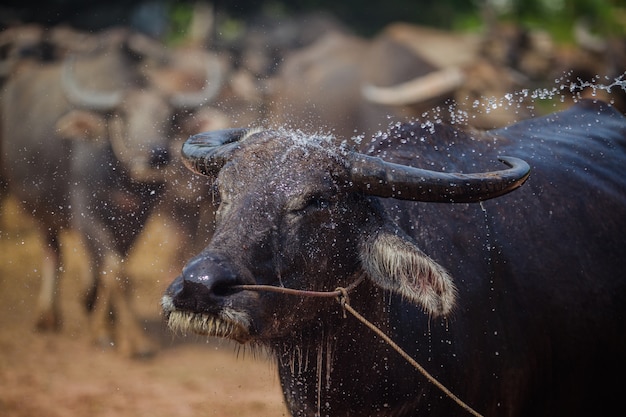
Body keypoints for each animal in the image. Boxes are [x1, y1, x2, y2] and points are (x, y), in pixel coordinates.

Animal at [1, 29, 221, 356]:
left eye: (170, 117)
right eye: (124, 115)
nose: (155, 156)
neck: (122, 179)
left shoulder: (136, 220)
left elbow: (116, 269)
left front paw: (110, 325)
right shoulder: (86, 213)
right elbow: (114, 270)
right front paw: (128, 338)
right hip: (40, 209)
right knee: (53, 252)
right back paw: (48, 315)